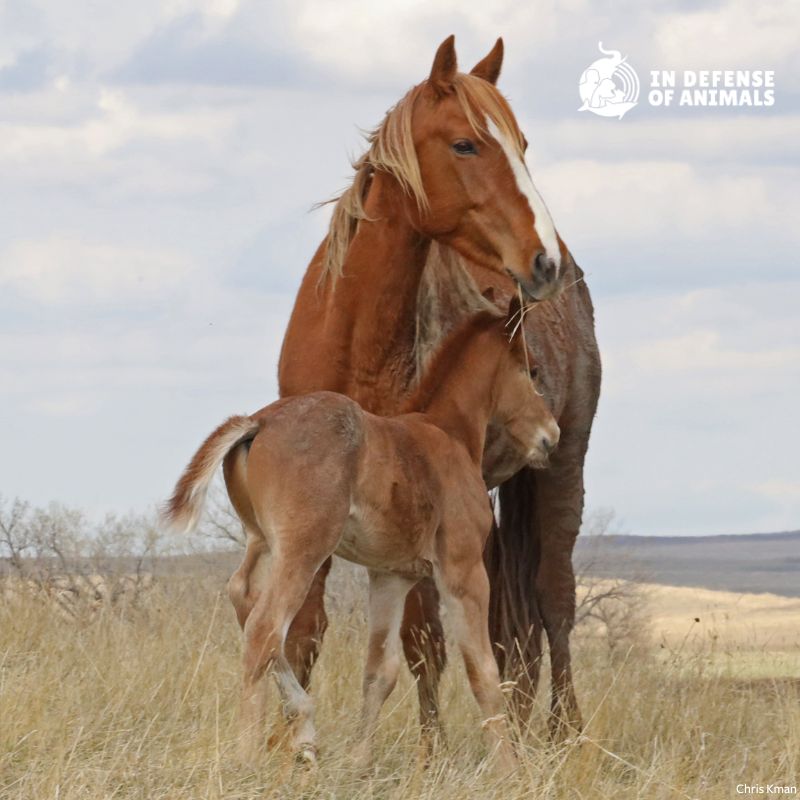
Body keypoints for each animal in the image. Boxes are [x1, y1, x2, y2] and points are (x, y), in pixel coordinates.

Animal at [165, 298, 560, 768]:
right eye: (532, 369)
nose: (551, 435)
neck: (447, 433)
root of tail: (256, 423)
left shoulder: (391, 576)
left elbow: (379, 672)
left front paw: (359, 761)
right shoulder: (463, 572)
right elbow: (482, 671)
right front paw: (509, 769)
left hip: (262, 541)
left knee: (244, 599)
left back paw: (304, 728)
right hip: (304, 549)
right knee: (264, 630)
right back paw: (249, 754)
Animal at [256, 32, 592, 744]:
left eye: (523, 144)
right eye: (465, 144)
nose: (543, 261)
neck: (358, 344)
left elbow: (421, 642)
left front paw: (430, 751)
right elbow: (304, 632)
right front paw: (290, 745)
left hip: (564, 464)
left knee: (553, 601)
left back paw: (564, 737)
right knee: (512, 630)